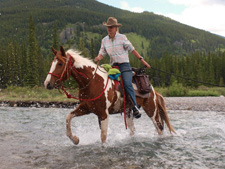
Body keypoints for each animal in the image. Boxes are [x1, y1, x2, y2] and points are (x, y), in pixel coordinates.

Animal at [44, 46, 176, 145]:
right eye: (52, 63)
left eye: (60, 64)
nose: (47, 84)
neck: (92, 81)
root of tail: (154, 90)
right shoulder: (85, 108)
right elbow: (68, 118)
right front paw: (75, 139)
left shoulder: (104, 114)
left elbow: (103, 137)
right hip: (129, 111)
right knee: (132, 130)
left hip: (151, 110)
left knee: (159, 128)